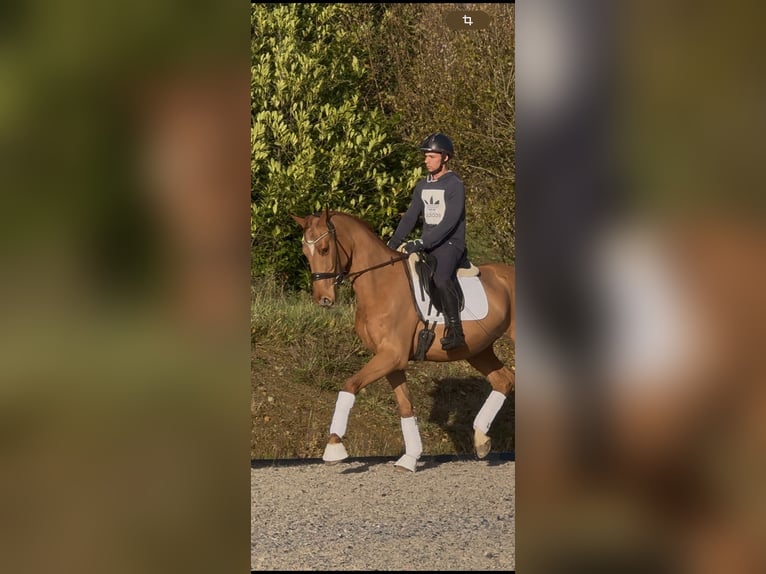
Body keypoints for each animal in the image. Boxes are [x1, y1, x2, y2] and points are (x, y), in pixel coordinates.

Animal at [291, 209, 515, 472]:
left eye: (325, 249)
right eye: (305, 252)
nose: (323, 299)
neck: (380, 283)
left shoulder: (392, 356)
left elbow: (350, 385)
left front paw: (334, 447)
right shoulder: (391, 360)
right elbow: (405, 405)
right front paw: (411, 457)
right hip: (478, 350)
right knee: (504, 380)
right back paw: (481, 440)